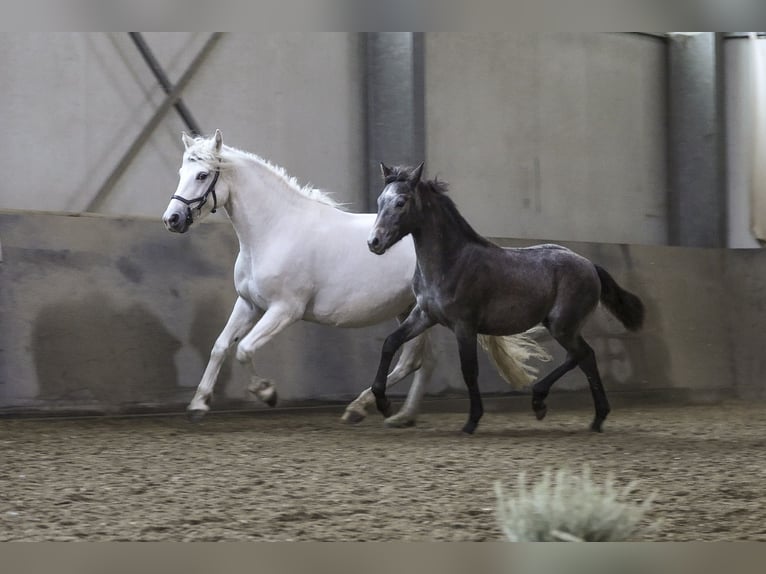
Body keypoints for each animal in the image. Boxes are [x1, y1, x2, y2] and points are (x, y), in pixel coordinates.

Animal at [162, 130, 548, 428]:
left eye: (202, 175)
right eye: (181, 171)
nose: (172, 219)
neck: (273, 231)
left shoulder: (284, 310)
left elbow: (244, 349)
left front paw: (267, 394)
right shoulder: (249, 304)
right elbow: (220, 346)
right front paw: (198, 406)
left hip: (418, 312)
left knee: (412, 361)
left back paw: (361, 409)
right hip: (414, 311)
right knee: (421, 362)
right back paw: (400, 416)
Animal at [368, 165, 644, 436]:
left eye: (401, 202)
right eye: (380, 200)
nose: (374, 242)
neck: (452, 261)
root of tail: (590, 265)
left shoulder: (464, 325)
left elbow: (469, 371)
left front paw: (472, 421)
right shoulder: (424, 315)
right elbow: (390, 343)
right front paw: (383, 403)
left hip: (562, 325)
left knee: (582, 355)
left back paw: (544, 402)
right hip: (562, 326)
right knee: (584, 358)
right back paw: (594, 418)